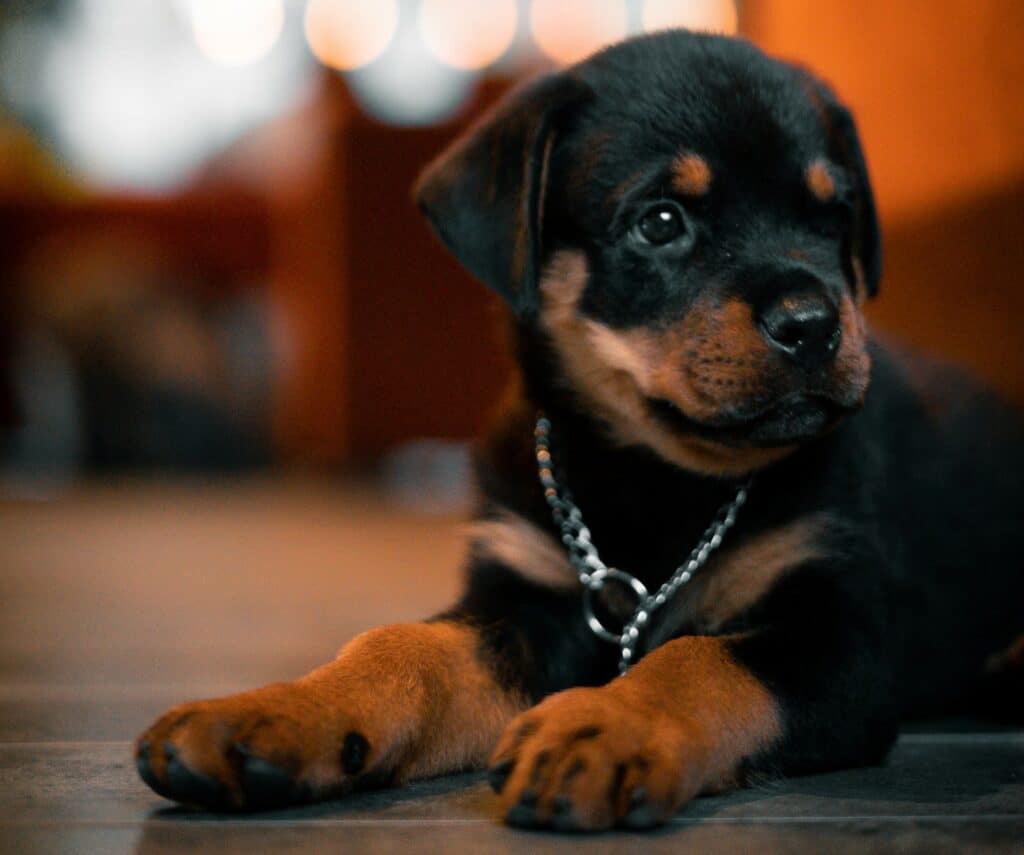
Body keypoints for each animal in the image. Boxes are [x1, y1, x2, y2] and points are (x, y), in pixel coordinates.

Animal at [134, 30, 1024, 831]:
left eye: (835, 213)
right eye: (660, 222)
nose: (812, 324)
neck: (648, 475)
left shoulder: (841, 633)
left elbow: (699, 658)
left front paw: (607, 727)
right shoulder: (522, 595)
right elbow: (404, 646)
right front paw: (272, 710)